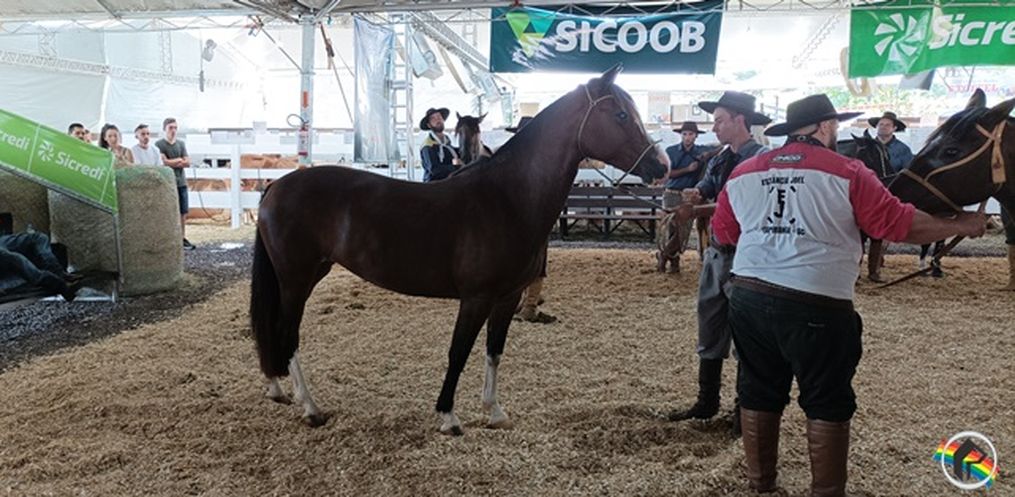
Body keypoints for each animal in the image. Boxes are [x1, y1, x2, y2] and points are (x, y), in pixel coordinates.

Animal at [250, 65, 668, 432]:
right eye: (620, 115)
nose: (661, 165)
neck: (508, 198)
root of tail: (276, 185)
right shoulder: (476, 298)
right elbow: (459, 351)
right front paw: (448, 416)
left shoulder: (507, 297)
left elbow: (494, 351)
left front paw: (494, 412)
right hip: (296, 279)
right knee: (286, 333)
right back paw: (310, 407)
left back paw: (277, 389)